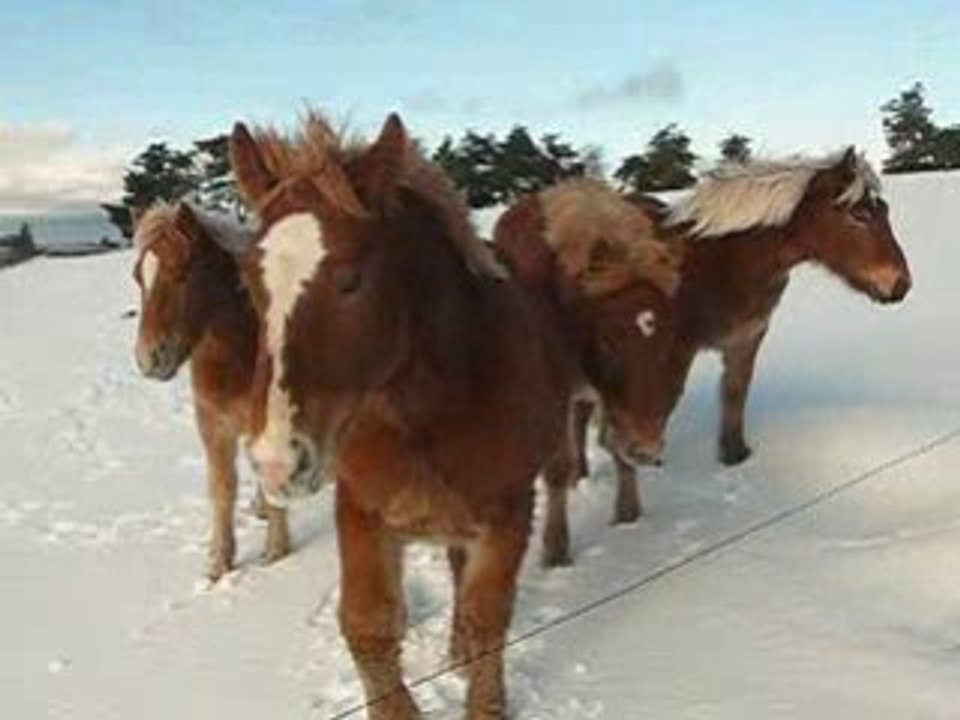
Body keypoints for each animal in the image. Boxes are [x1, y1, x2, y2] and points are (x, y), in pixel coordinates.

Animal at [131, 201, 290, 581]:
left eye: (183, 273)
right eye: (138, 277)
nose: (149, 359)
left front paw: (276, 552)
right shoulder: (214, 424)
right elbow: (222, 487)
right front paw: (219, 562)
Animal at [229, 111, 574, 719]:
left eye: (351, 279)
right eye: (250, 282)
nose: (276, 461)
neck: (425, 415)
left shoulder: (507, 514)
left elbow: (488, 620)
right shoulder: (362, 511)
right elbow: (367, 624)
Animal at [493, 178, 682, 566]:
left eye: (669, 336)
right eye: (608, 340)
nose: (648, 448)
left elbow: (612, 441)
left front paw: (628, 514)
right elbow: (556, 467)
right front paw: (555, 549)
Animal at [580, 148, 912, 525]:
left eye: (883, 211)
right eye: (859, 215)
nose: (900, 284)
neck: (722, 260)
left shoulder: (746, 337)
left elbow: (735, 391)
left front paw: (734, 456)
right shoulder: (672, 353)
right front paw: (627, 514)